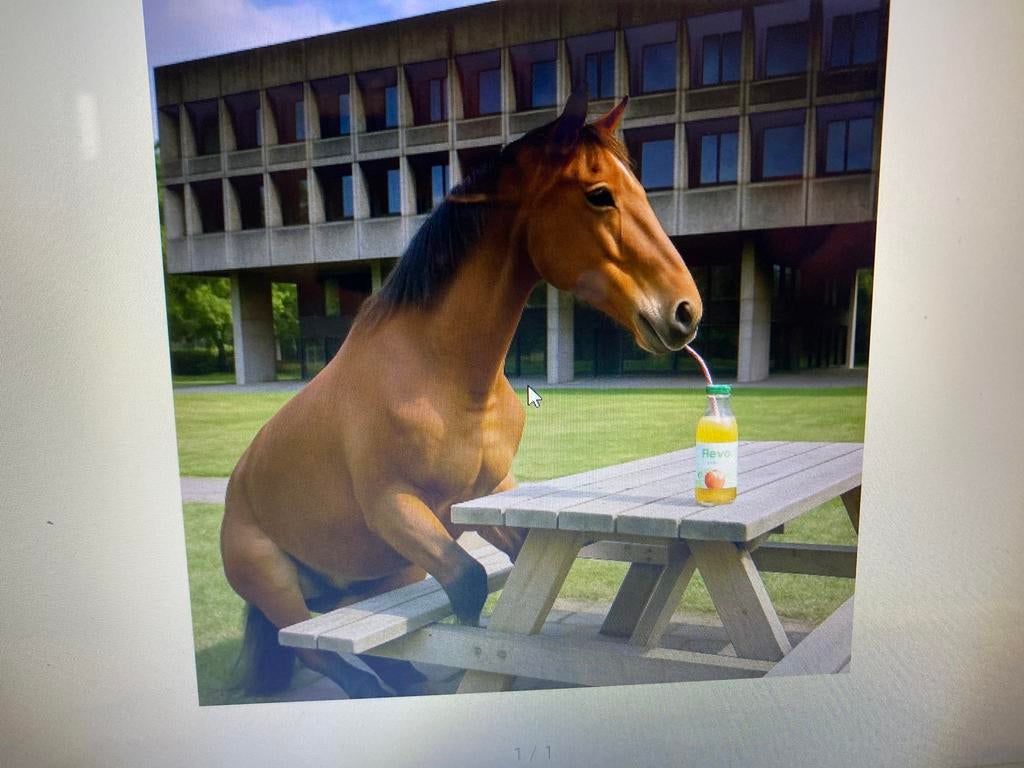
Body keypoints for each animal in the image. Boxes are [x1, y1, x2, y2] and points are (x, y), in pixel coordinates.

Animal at [220, 88, 704, 699]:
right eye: (599, 196)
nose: (685, 311)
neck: (441, 376)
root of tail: (237, 487)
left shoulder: (487, 495)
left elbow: (518, 566)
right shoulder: (396, 507)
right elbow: (469, 586)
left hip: (380, 574)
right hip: (283, 587)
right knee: (314, 652)